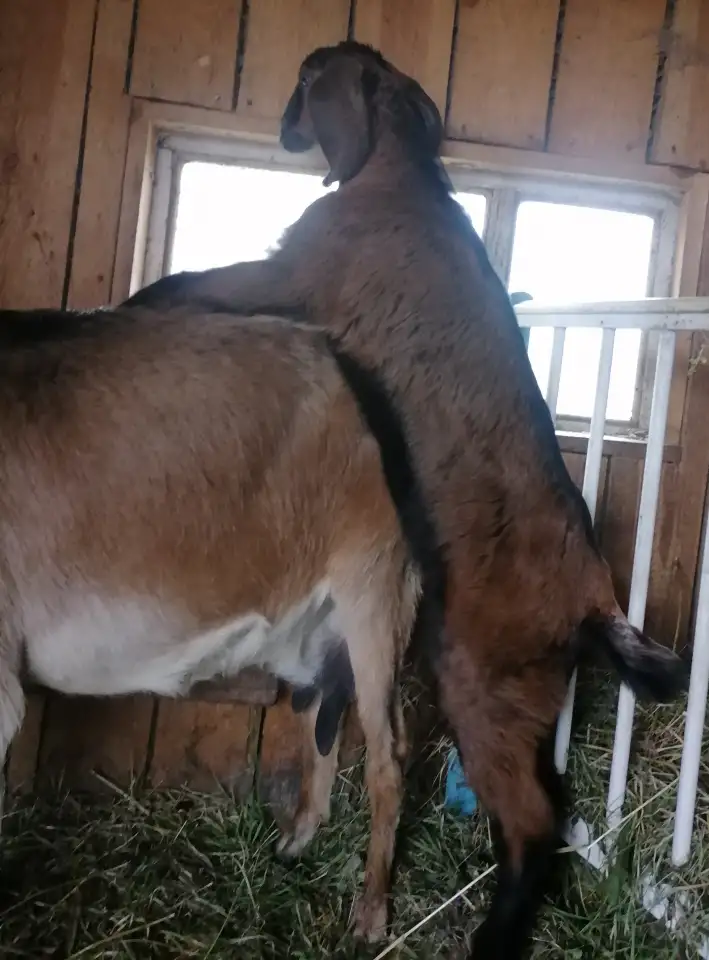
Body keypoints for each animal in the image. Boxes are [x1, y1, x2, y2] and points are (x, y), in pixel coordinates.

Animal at [0, 302, 421, 941]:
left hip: (371, 583)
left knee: (388, 755)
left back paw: (371, 912)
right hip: (316, 629)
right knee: (324, 713)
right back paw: (298, 838)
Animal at [124, 43, 689, 959]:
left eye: (308, 78)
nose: (284, 129)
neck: (396, 173)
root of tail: (596, 598)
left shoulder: (295, 267)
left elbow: (201, 277)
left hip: (477, 676)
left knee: (532, 819)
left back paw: (488, 937)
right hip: (522, 691)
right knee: (541, 803)